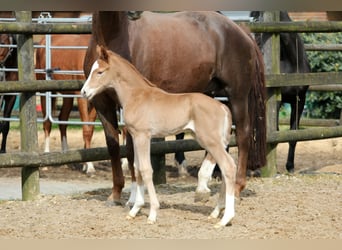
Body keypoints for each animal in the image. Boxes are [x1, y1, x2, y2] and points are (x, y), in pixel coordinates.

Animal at [36, 34, 97, 173]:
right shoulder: (81, 97)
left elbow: (90, 129)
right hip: (45, 92)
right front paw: (90, 166)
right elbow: (86, 129)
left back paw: (66, 158)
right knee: (47, 123)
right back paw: (46, 161)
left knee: (62, 119)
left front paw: (86, 163)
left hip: (67, 95)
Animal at [83, 10, 268, 204]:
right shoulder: (102, 103)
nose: (135, 12)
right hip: (212, 97)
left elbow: (132, 151)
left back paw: (237, 188)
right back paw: (203, 186)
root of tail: (240, 30)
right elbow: (113, 146)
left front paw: (134, 195)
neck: (114, 37)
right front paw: (116, 193)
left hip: (237, 96)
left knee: (243, 135)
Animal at [83, 46, 238, 228]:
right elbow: (137, 168)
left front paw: (152, 213)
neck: (137, 95)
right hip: (215, 142)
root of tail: (223, 107)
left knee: (228, 166)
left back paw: (225, 219)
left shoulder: (143, 136)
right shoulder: (136, 136)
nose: (84, 92)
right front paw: (135, 210)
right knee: (227, 168)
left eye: (99, 72)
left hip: (211, 141)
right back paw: (216, 212)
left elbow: (145, 169)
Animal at [250, 11, 312, 172]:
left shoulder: (299, 100)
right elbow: (275, 131)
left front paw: (290, 166)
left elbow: (293, 134)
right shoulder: (276, 101)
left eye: (257, 18)